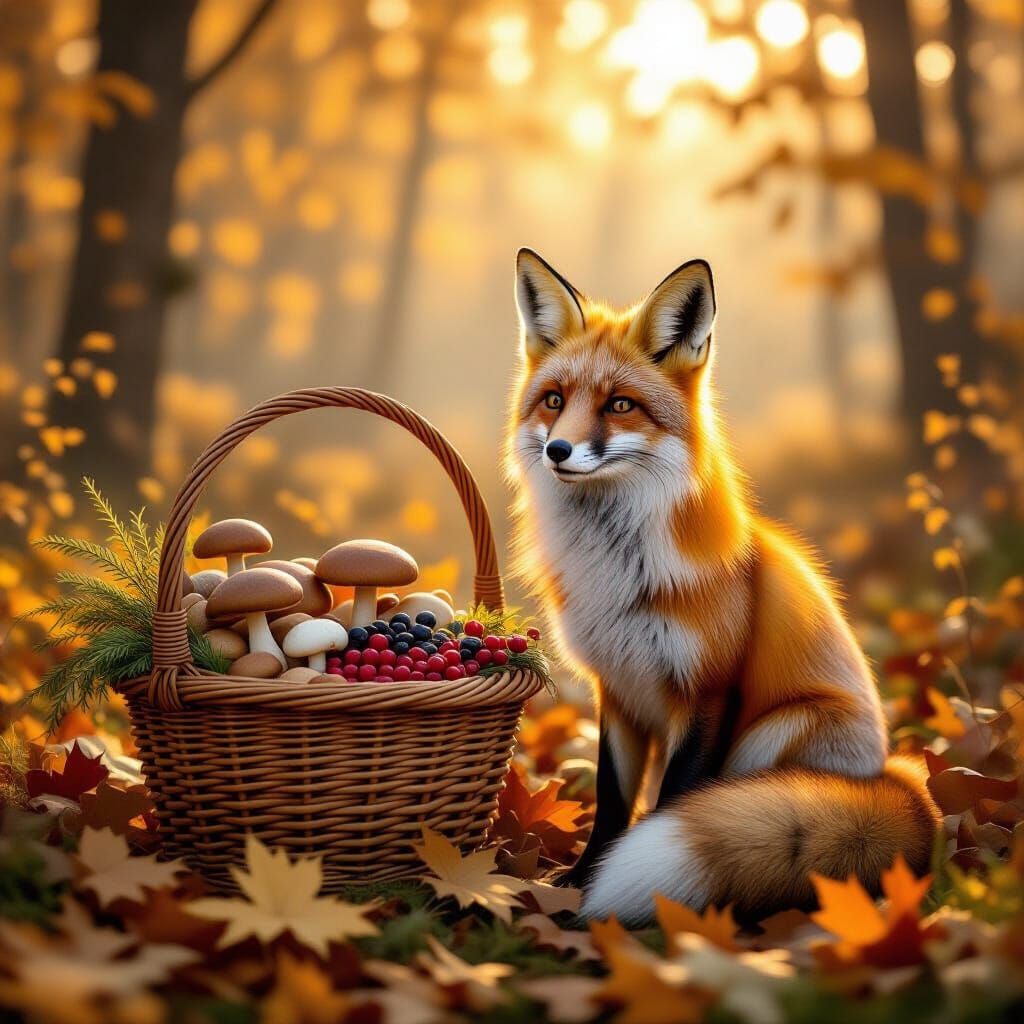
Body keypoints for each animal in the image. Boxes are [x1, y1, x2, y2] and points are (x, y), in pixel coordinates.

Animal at [504, 248, 940, 925]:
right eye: (553, 399)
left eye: (620, 405)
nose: (558, 450)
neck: (618, 572)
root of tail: (900, 782)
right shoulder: (618, 690)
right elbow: (612, 802)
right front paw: (581, 878)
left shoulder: (708, 692)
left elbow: (671, 801)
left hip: (778, 730)